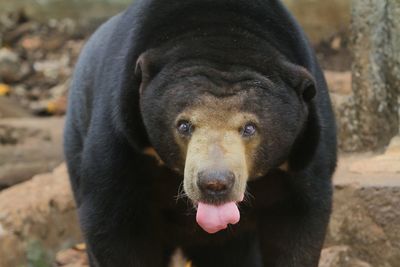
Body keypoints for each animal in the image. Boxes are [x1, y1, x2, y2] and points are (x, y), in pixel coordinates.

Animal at [64, 1, 336, 266]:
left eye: (249, 128)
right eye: (184, 125)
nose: (214, 184)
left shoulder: (308, 148)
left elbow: (299, 221)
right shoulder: (122, 133)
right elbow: (113, 221)